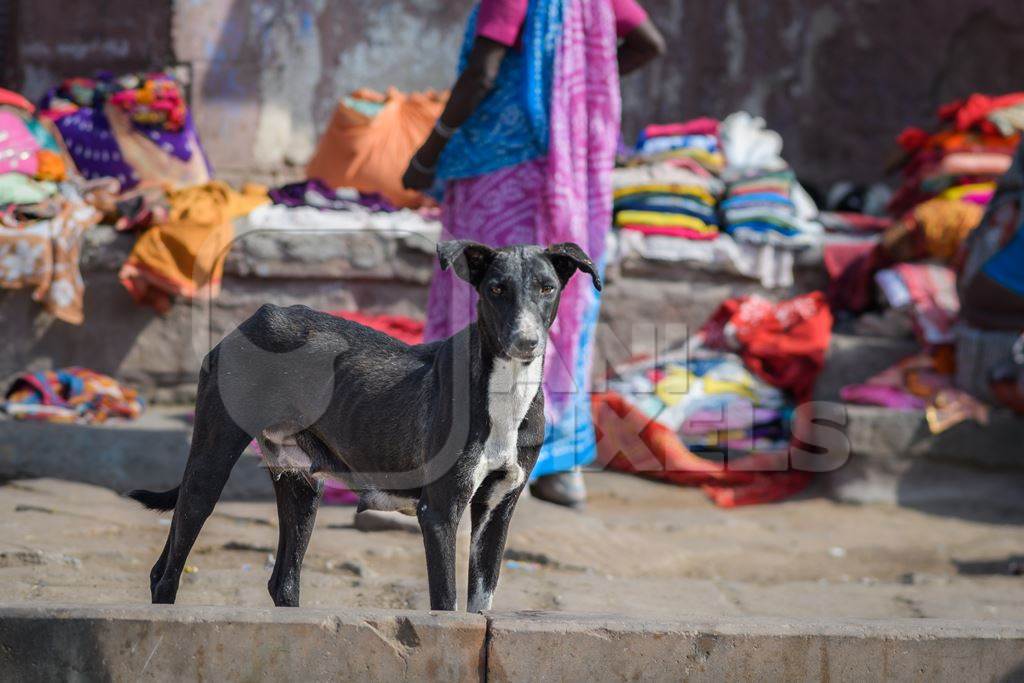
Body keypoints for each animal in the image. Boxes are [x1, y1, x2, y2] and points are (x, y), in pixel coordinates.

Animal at [128, 239, 598, 610]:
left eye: (547, 288)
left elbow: (480, 604)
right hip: (208, 468)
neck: (505, 390)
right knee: (166, 573)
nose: (526, 342)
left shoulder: (498, 510)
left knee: (283, 583)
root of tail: (258, 317)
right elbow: (447, 605)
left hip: (302, 485)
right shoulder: (439, 512)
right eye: (496, 289)